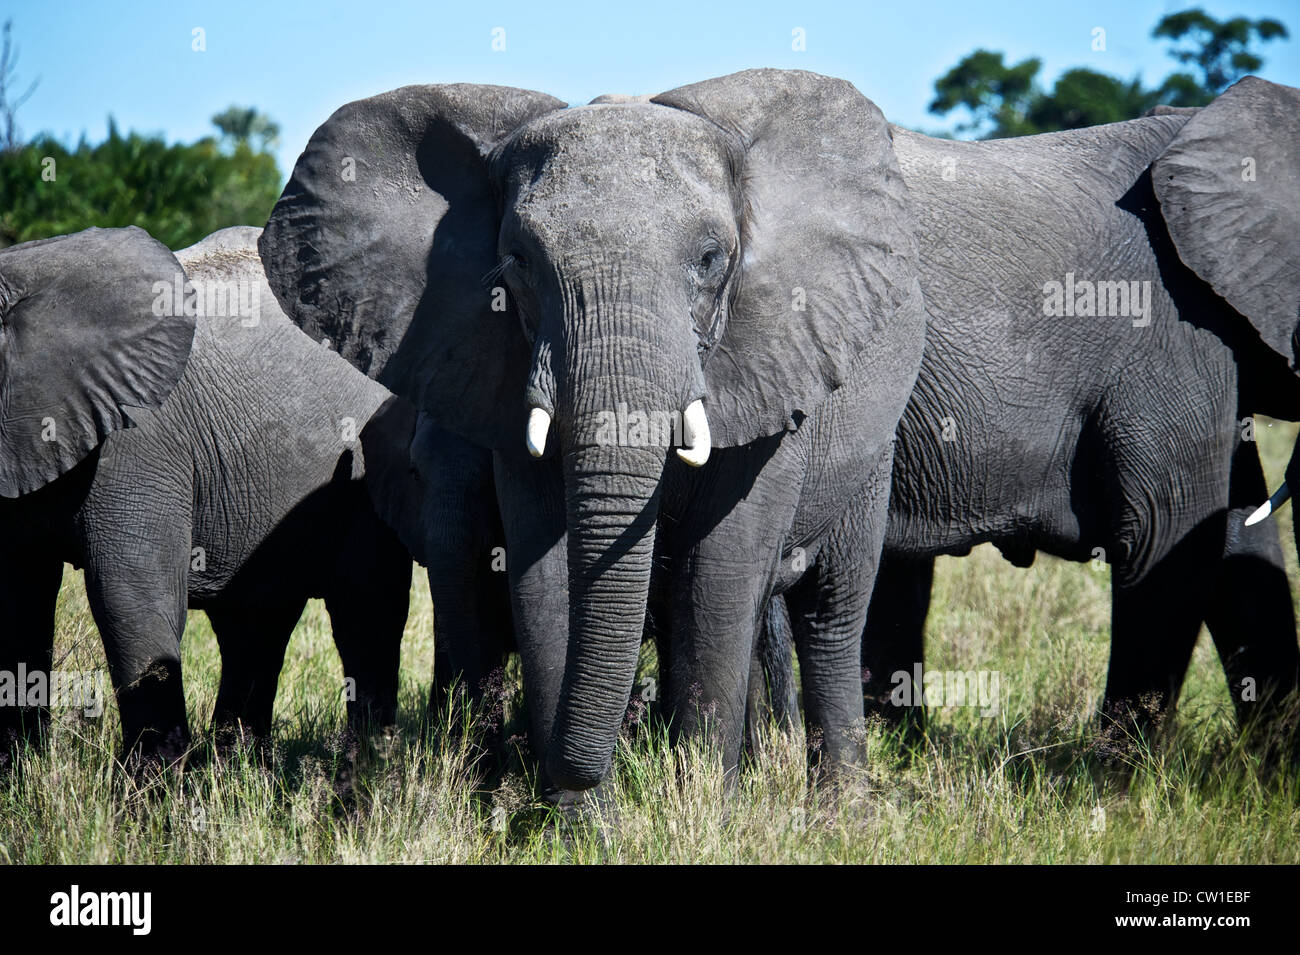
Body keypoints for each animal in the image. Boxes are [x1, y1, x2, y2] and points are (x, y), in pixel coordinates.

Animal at [0, 223, 416, 769]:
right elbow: (19, 603)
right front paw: (19, 776)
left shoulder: (137, 442)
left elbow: (130, 602)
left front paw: (155, 792)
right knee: (255, 623)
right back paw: (240, 770)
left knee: (364, 613)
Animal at [258, 67, 925, 795]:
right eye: (519, 260)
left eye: (710, 259)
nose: (576, 770)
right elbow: (542, 576)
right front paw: (573, 814)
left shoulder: (771, 361)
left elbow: (720, 573)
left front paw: (699, 806)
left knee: (830, 615)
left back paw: (841, 801)